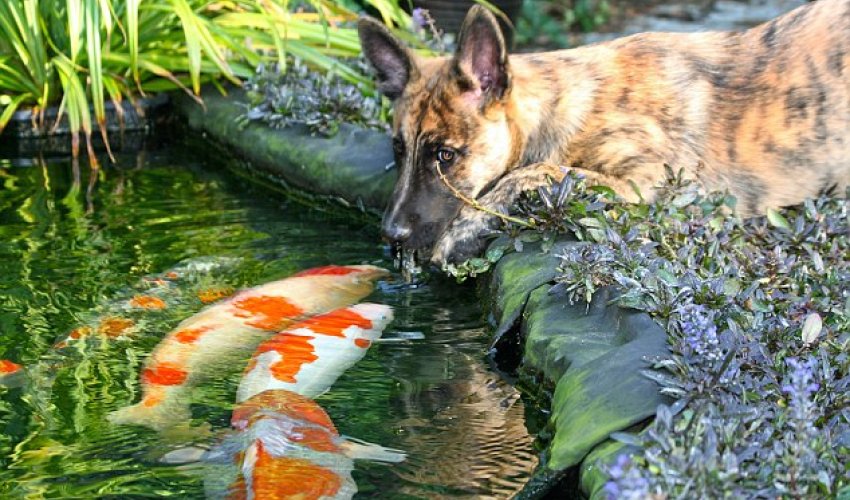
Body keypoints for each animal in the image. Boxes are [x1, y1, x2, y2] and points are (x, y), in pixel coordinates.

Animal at [356, 0, 848, 266]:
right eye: (398, 151)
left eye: (446, 156)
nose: (391, 235)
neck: (561, 106)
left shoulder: (650, 184)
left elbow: (537, 170)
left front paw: (464, 230)